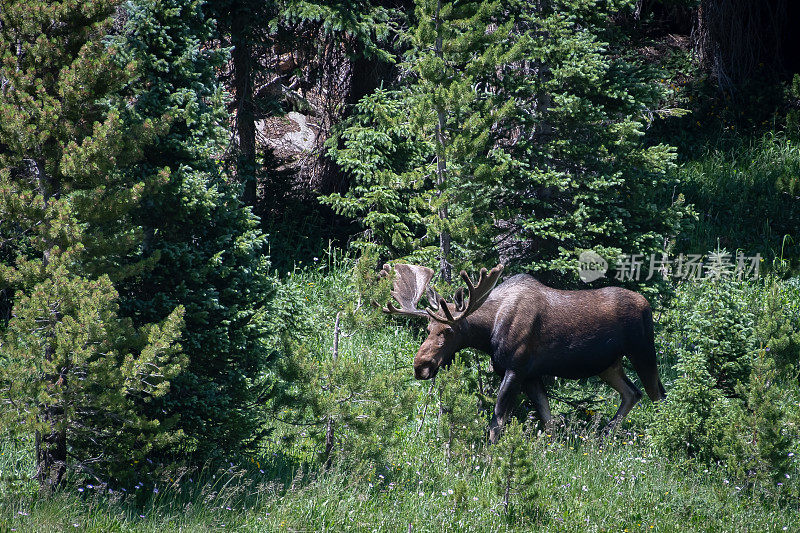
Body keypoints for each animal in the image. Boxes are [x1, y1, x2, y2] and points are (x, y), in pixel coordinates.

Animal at [378, 262, 664, 440]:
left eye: (448, 330)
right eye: (428, 327)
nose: (421, 365)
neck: (489, 331)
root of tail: (647, 304)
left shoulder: (516, 368)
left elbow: (497, 422)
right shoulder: (531, 374)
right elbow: (548, 420)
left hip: (643, 350)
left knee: (657, 394)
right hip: (608, 365)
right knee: (633, 393)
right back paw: (604, 436)